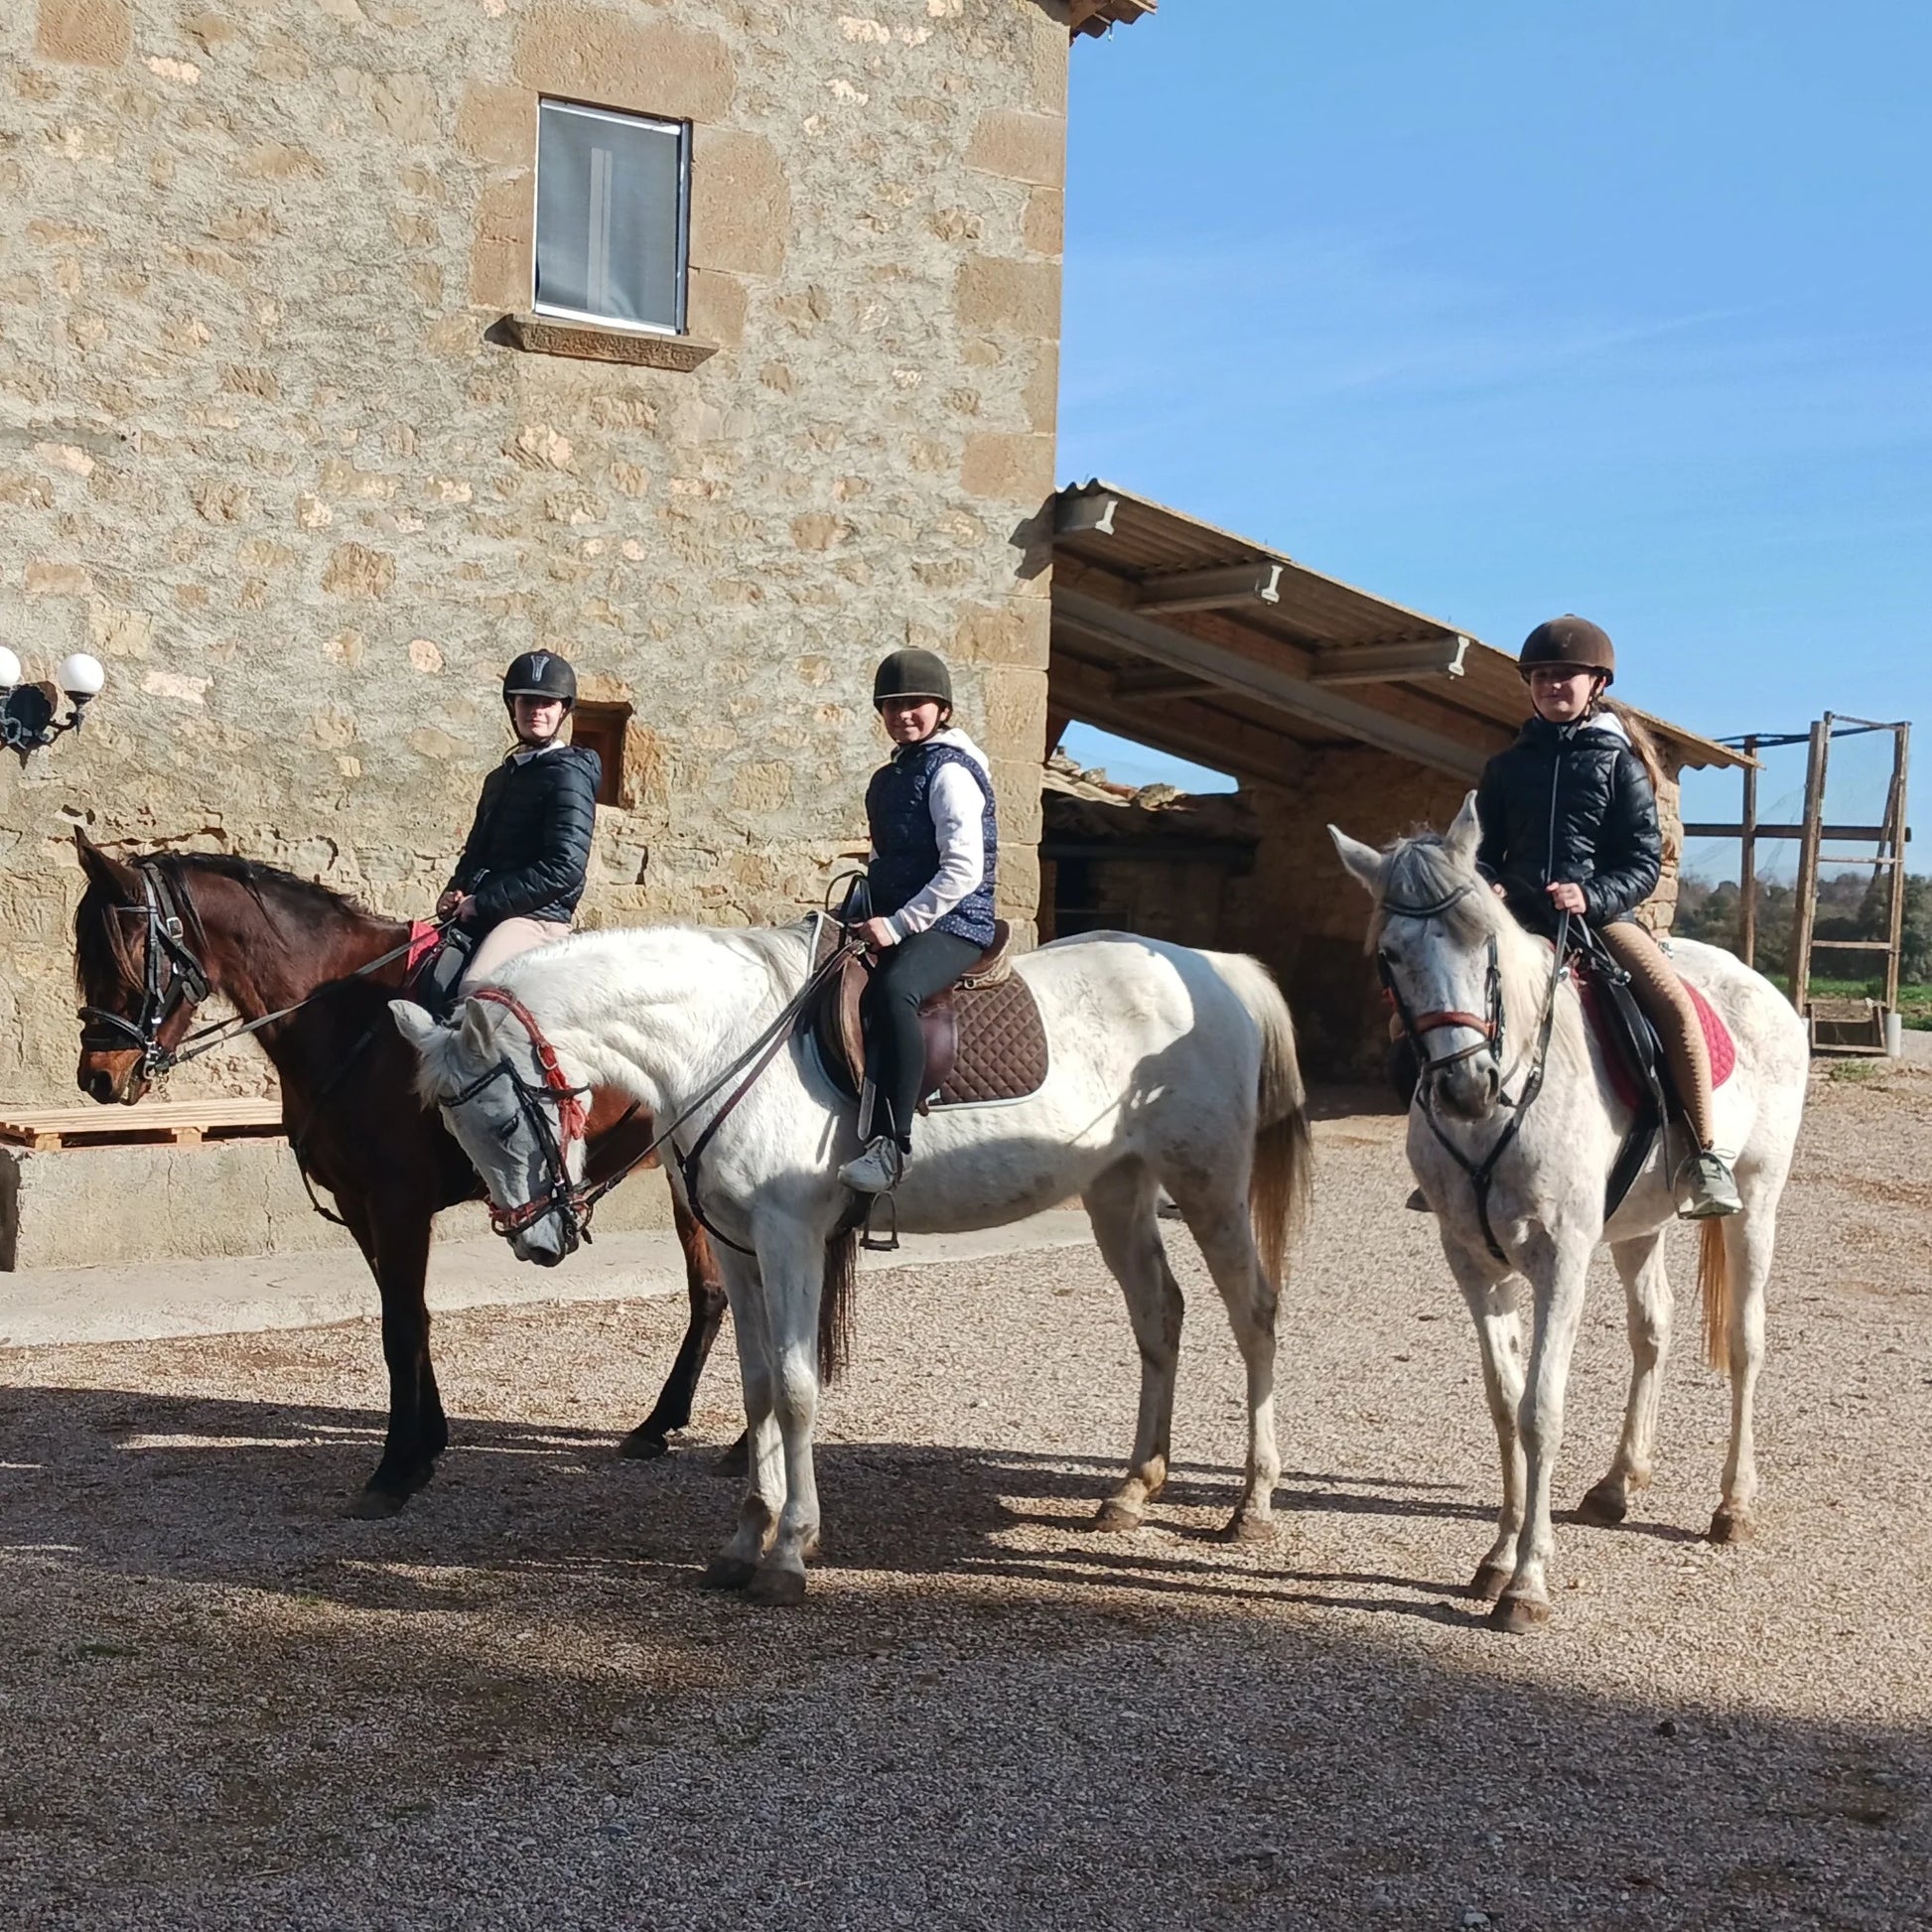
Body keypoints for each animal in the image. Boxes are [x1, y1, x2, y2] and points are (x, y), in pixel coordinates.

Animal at [70, 834, 731, 1513]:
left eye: (128, 954)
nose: (99, 1078)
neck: (346, 1014)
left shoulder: (399, 1204)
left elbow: (402, 1325)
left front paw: (393, 1471)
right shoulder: (360, 1204)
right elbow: (406, 1316)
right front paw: (425, 1447)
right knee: (713, 1291)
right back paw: (662, 1428)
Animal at [391, 919, 1313, 1604]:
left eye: (502, 1121)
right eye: (455, 1130)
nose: (536, 1241)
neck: (722, 1041)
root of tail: (1217, 968)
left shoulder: (790, 1236)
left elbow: (798, 1390)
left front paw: (789, 1554)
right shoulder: (739, 1249)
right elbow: (758, 1389)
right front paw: (743, 1540)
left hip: (1206, 1185)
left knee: (1255, 1317)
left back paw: (1253, 1504)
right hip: (1117, 1189)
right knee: (1160, 1316)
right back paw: (1130, 1490)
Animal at [1329, 796, 1809, 1632]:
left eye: (1483, 939)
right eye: (1391, 954)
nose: (1467, 1087)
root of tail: (1760, 984)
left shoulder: (1561, 1260)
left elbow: (1540, 1410)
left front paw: (1527, 1583)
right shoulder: (1473, 1262)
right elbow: (1502, 1405)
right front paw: (1496, 1559)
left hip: (1757, 1201)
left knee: (1746, 1345)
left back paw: (1733, 1507)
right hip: (1640, 1227)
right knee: (1654, 1330)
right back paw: (1619, 1484)